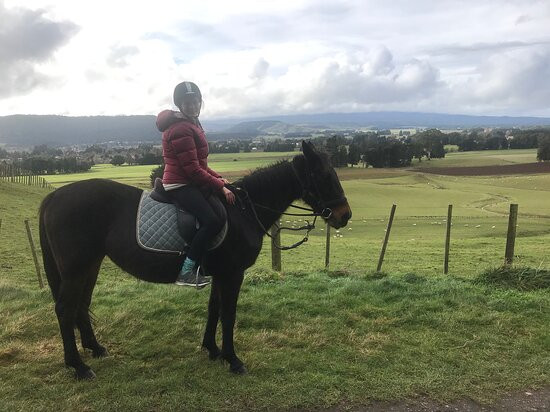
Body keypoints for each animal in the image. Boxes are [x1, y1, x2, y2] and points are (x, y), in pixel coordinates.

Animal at [41, 142, 356, 380]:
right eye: (324, 176)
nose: (345, 215)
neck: (243, 211)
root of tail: (55, 196)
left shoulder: (219, 273)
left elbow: (213, 310)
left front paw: (212, 350)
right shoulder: (233, 273)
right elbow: (228, 315)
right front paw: (233, 360)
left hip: (90, 265)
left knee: (81, 305)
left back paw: (95, 349)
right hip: (76, 268)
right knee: (64, 309)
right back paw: (79, 366)